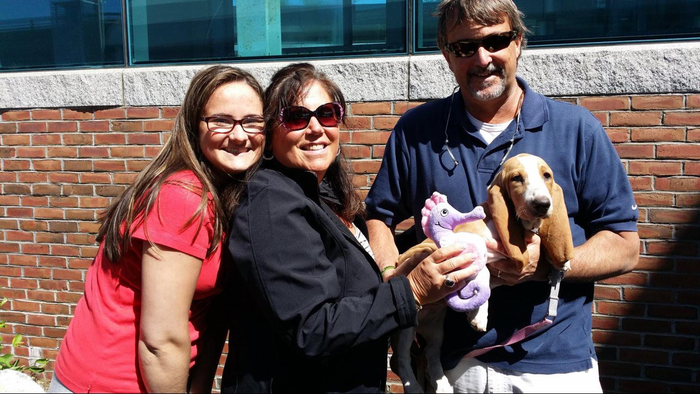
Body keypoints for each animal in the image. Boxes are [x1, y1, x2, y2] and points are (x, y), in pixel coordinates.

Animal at [388, 153, 576, 390]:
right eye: (516, 178)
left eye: (547, 175)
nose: (542, 204)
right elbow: (483, 270)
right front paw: (477, 316)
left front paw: (560, 264)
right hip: (405, 327)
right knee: (400, 359)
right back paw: (414, 386)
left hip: (435, 330)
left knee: (430, 353)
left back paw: (443, 385)